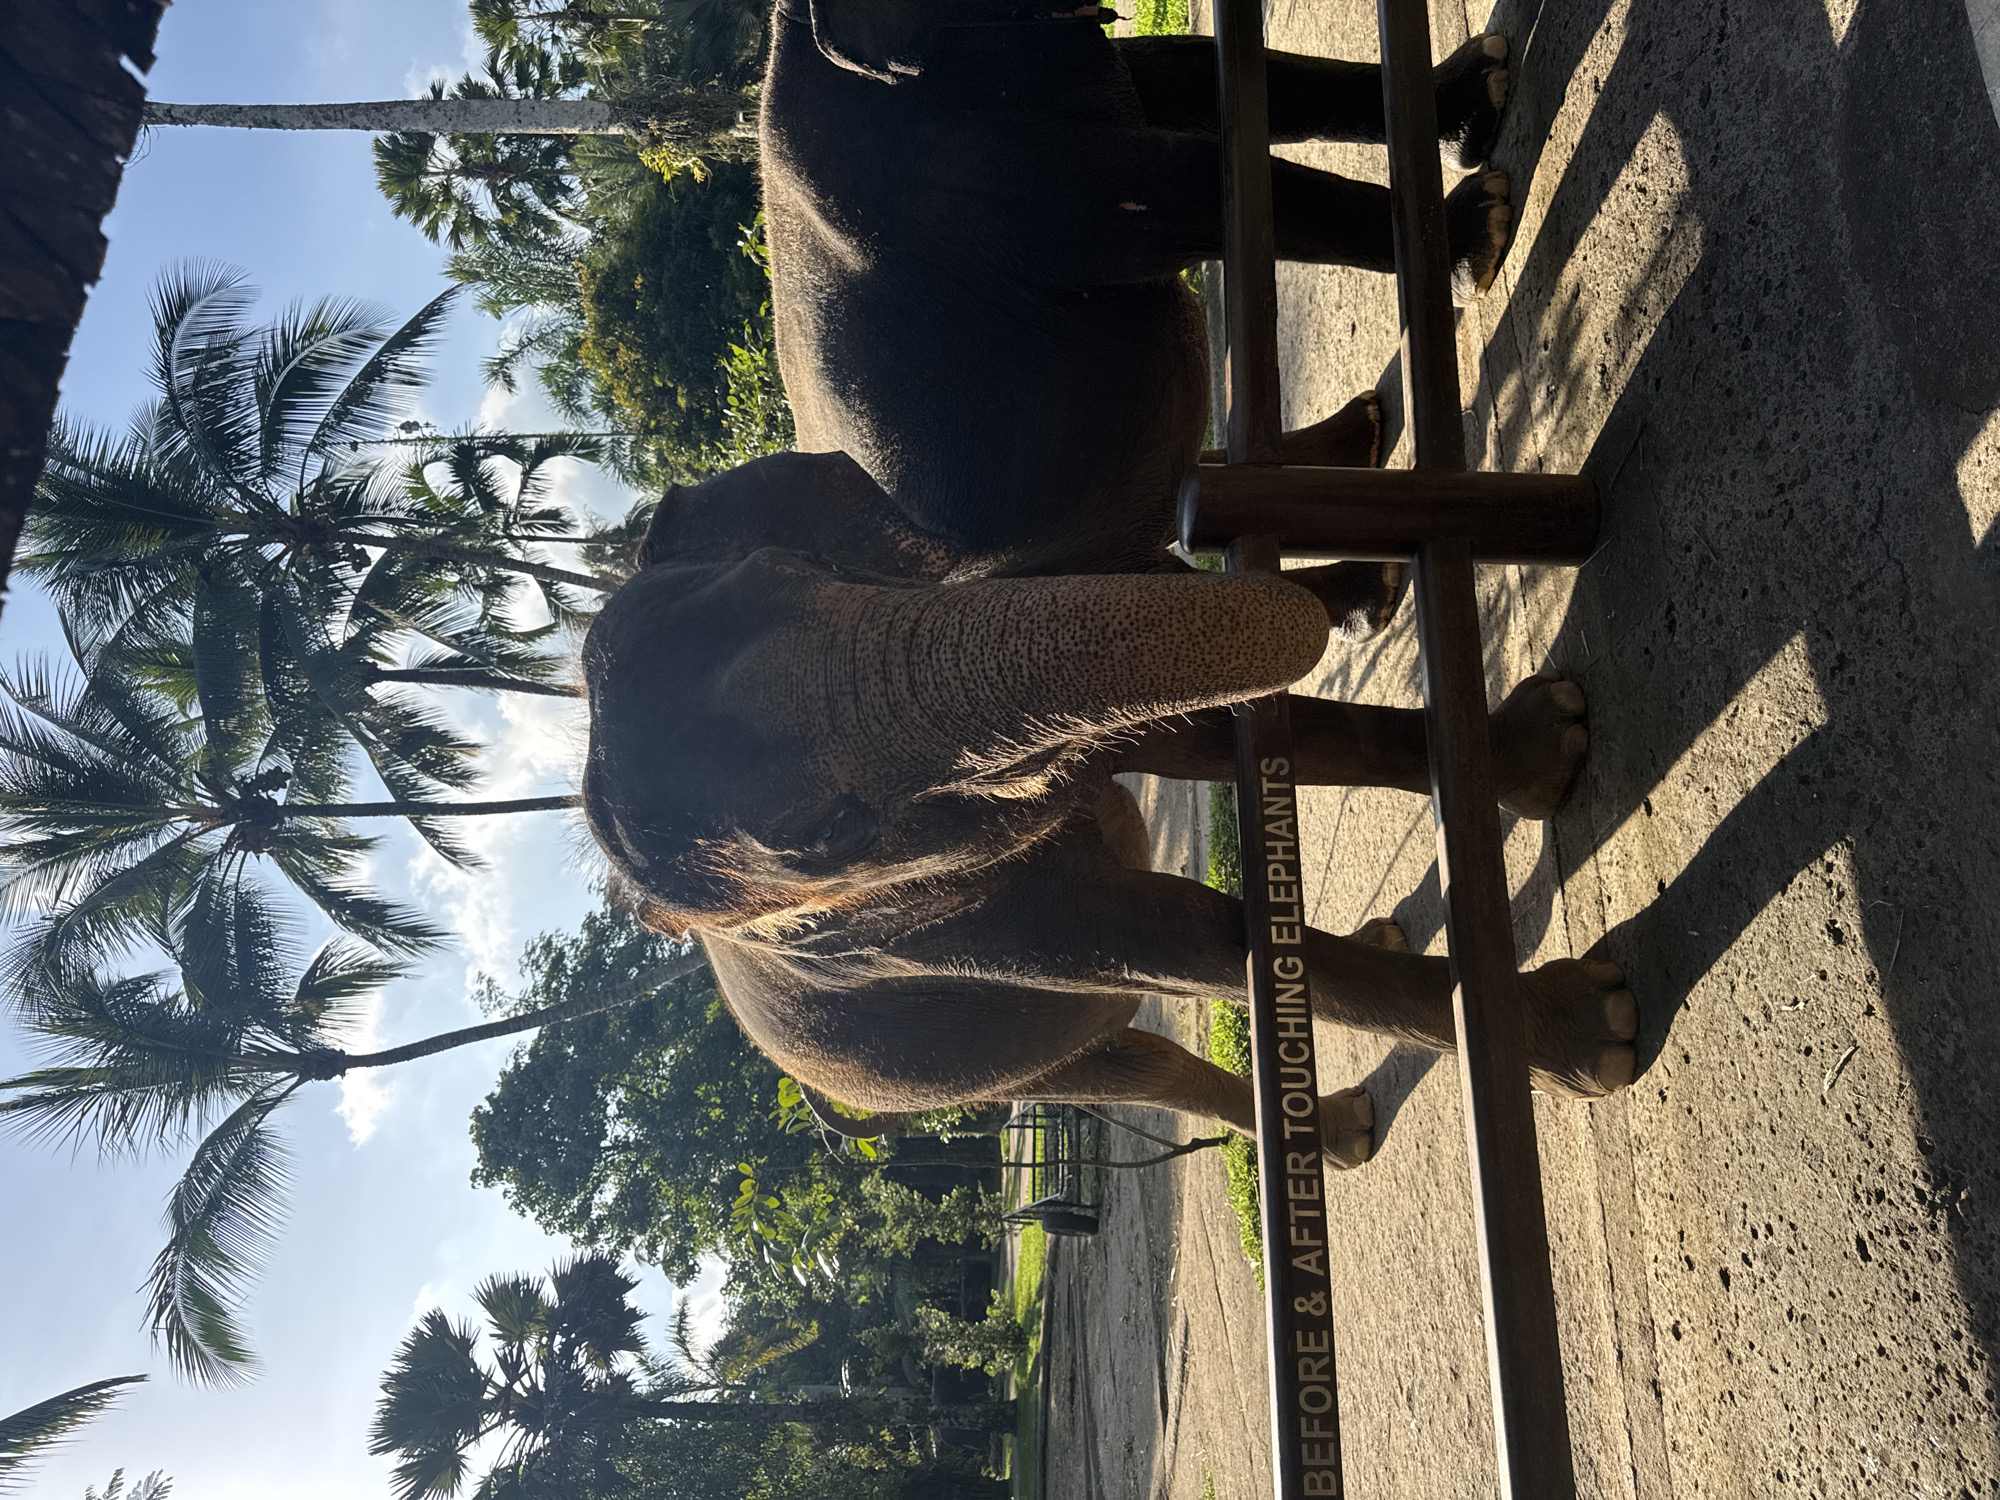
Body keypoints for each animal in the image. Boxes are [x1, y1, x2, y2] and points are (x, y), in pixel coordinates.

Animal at [580, 6, 1639, 1162]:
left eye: (803, 570)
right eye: (827, 839)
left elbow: (1200, 79)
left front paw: (1548, 747)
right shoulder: (921, 921)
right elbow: (1176, 188)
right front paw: (1598, 1030)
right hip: (972, 1071)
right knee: (1132, 1051)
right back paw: (1346, 1128)